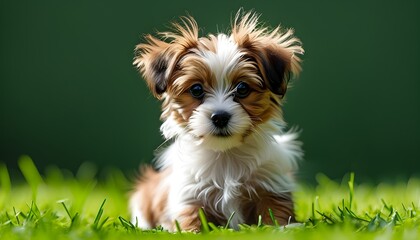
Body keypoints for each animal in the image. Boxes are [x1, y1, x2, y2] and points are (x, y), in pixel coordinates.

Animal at [130, 10, 304, 232]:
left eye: (242, 88)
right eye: (196, 89)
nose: (220, 117)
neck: (225, 155)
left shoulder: (272, 185)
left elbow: (275, 213)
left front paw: (281, 229)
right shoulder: (188, 196)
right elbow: (191, 222)